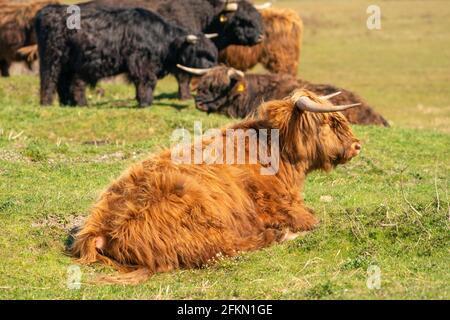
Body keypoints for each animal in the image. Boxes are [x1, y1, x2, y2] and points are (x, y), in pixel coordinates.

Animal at [35, 4, 218, 107]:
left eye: (212, 54)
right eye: (199, 52)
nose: (212, 68)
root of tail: (47, 11)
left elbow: (140, 83)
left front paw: (140, 99)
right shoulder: (142, 61)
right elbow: (147, 81)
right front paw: (145, 103)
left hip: (67, 64)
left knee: (63, 82)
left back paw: (66, 103)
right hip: (52, 57)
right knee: (49, 79)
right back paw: (48, 103)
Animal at [72, 89, 360, 284]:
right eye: (329, 122)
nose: (357, 145)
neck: (276, 151)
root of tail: (100, 228)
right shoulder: (281, 206)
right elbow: (312, 219)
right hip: (202, 219)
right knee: (221, 248)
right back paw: (279, 235)